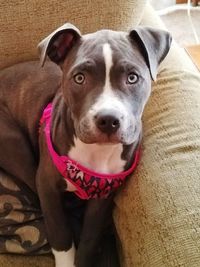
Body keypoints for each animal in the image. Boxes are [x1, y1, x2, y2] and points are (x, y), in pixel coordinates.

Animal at [0, 23, 172, 267]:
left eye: (132, 78)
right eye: (79, 78)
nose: (108, 119)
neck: (97, 152)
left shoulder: (103, 197)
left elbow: (90, 238)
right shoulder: (47, 185)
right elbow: (59, 231)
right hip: (15, 145)